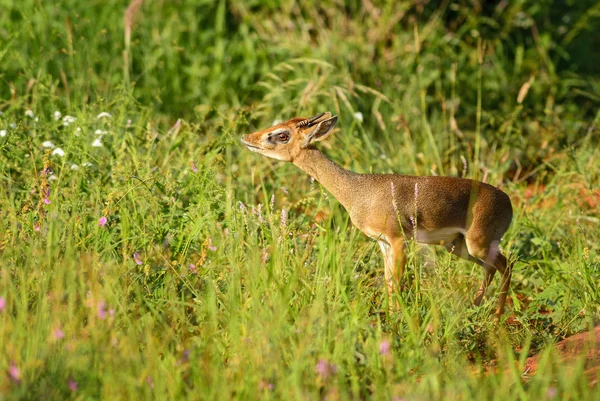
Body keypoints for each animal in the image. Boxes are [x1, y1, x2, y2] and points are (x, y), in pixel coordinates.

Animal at [241, 112, 512, 316]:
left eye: (282, 135)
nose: (246, 137)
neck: (357, 191)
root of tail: (508, 202)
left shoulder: (399, 240)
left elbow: (396, 283)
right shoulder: (383, 244)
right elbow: (389, 283)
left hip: (477, 243)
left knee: (505, 266)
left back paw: (496, 319)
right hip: (458, 247)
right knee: (491, 268)